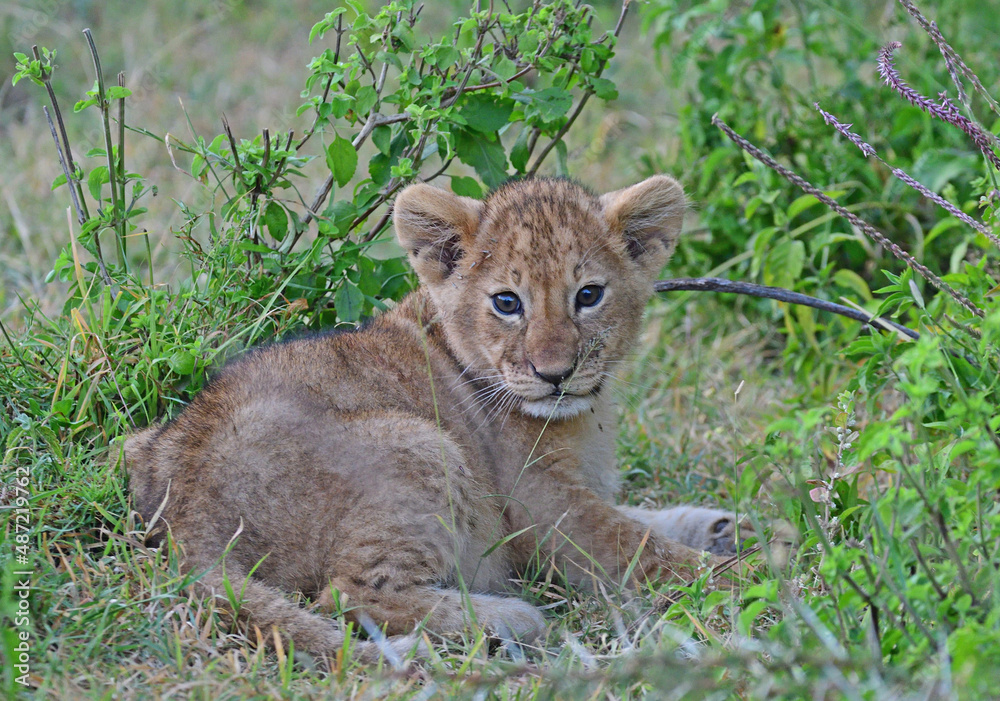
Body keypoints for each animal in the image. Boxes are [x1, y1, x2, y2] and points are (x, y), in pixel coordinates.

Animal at [125, 175, 747, 663]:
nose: (555, 374)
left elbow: (646, 520)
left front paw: (726, 527)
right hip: (420, 443)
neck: (579, 415)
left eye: (589, 295)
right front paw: (748, 578)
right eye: (507, 303)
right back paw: (507, 619)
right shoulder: (542, 503)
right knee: (351, 594)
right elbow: (640, 547)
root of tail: (185, 515)